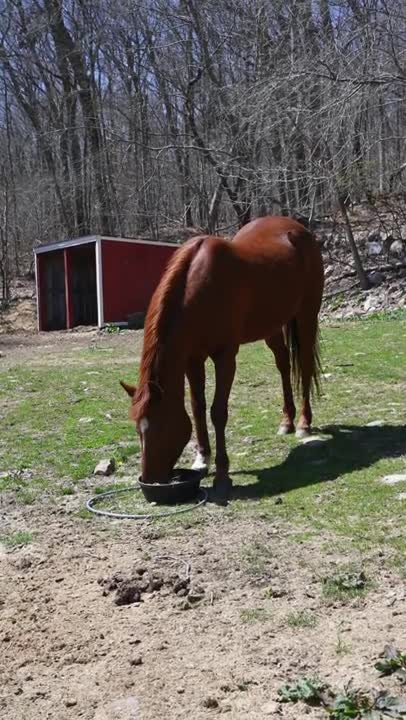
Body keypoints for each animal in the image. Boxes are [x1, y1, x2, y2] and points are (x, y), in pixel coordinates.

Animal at [121, 216, 324, 500]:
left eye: (161, 426)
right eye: (137, 428)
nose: (150, 480)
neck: (199, 290)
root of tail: (299, 229)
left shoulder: (225, 357)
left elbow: (218, 411)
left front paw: (222, 475)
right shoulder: (193, 359)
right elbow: (197, 406)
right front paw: (201, 459)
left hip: (306, 316)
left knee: (303, 367)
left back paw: (304, 423)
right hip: (272, 326)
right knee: (283, 364)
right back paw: (287, 421)